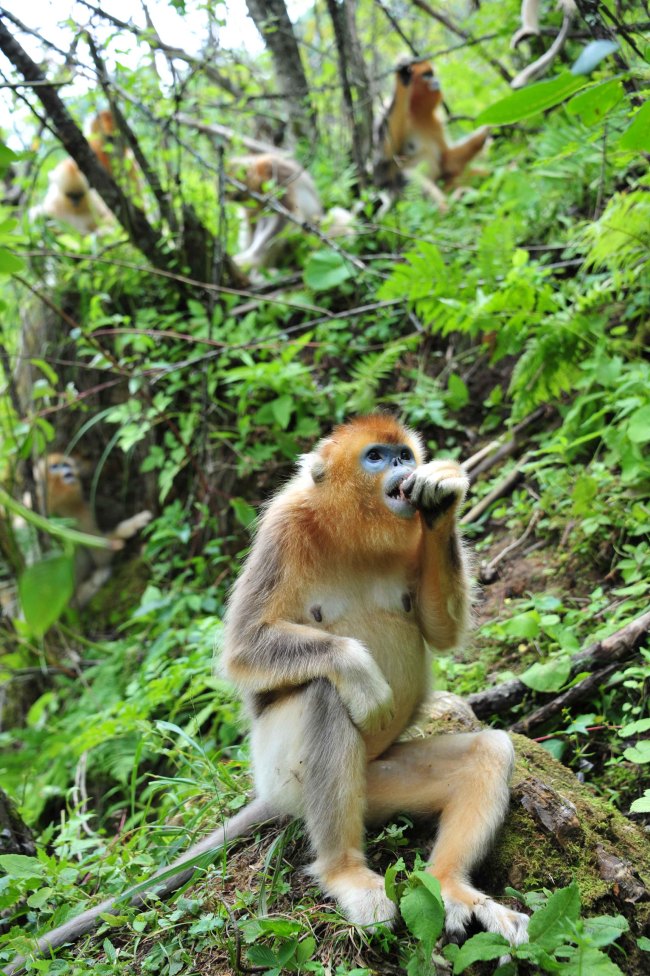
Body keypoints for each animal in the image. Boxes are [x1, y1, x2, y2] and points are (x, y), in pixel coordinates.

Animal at [35, 454, 151, 607]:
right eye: (54, 466)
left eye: (66, 464)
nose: (67, 471)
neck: (62, 504)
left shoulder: (83, 513)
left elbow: (101, 554)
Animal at [373, 59, 489, 212]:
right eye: (427, 75)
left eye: (432, 74)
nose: (436, 80)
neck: (415, 111)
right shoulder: (385, 109)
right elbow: (383, 162)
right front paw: (402, 78)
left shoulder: (437, 122)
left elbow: (446, 162)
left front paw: (482, 136)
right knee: (407, 176)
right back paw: (451, 207)